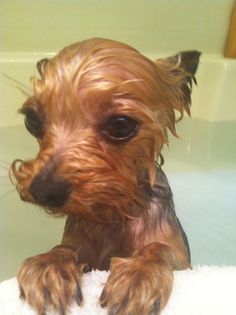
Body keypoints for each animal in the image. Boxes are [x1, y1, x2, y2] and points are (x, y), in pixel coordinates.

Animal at [10, 39, 200, 315]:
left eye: (121, 124)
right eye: (32, 120)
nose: (43, 190)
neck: (113, 210)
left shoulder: (180, 257)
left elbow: (159, 248)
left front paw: (139, 273)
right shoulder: (84, 251)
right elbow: (65, 248)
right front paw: (49, 264)